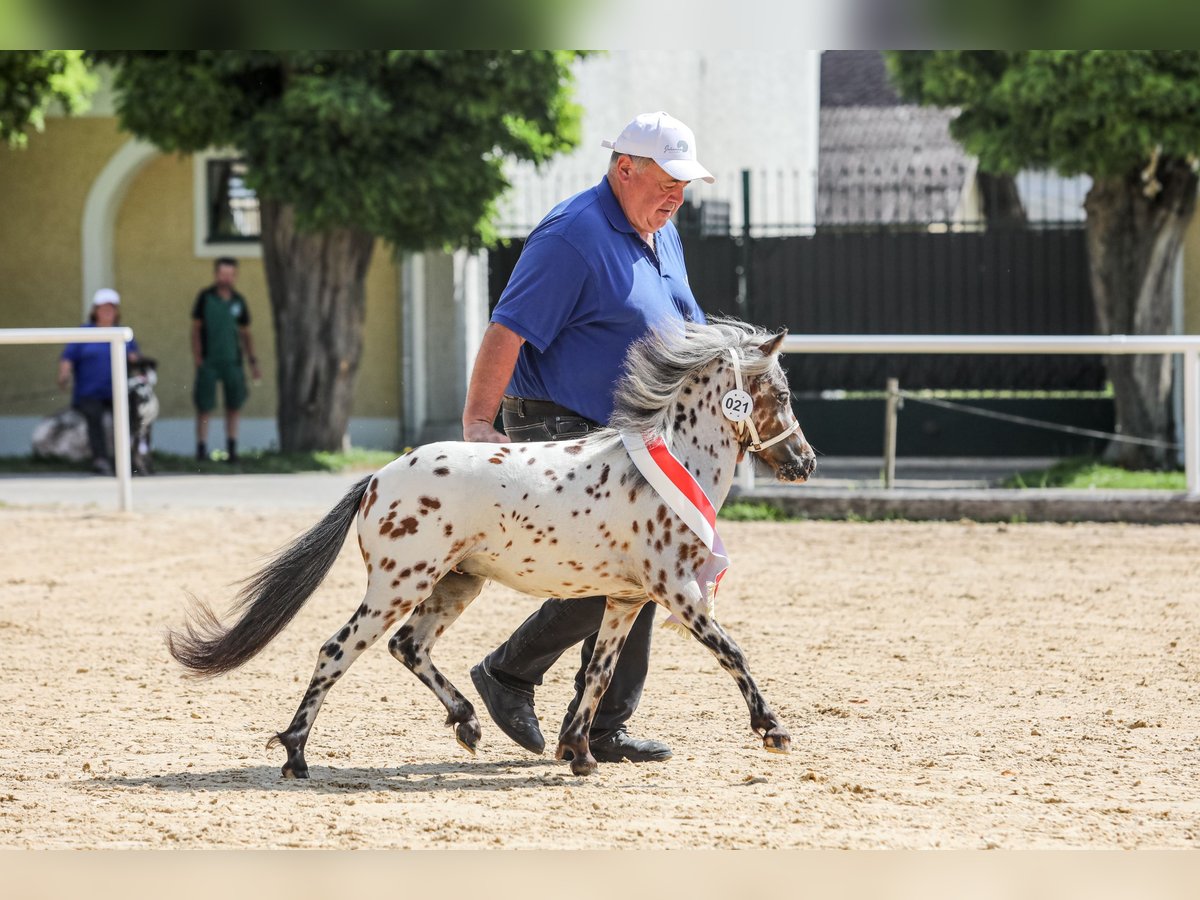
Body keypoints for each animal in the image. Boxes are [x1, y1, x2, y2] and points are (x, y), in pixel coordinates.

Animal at [169, 321, 816, 777]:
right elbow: (733, 653)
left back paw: (470, 725)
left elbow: (600, 673)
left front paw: (579, 753)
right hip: (397, 585)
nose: (805, 463)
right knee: (337, 650)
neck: (666, 468)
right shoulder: (678, 592)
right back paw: (296, 756)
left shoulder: (626, 600)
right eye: (782, 393)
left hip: (457, 583)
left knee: (408, 647)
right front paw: (773, 731)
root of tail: (377, 479)